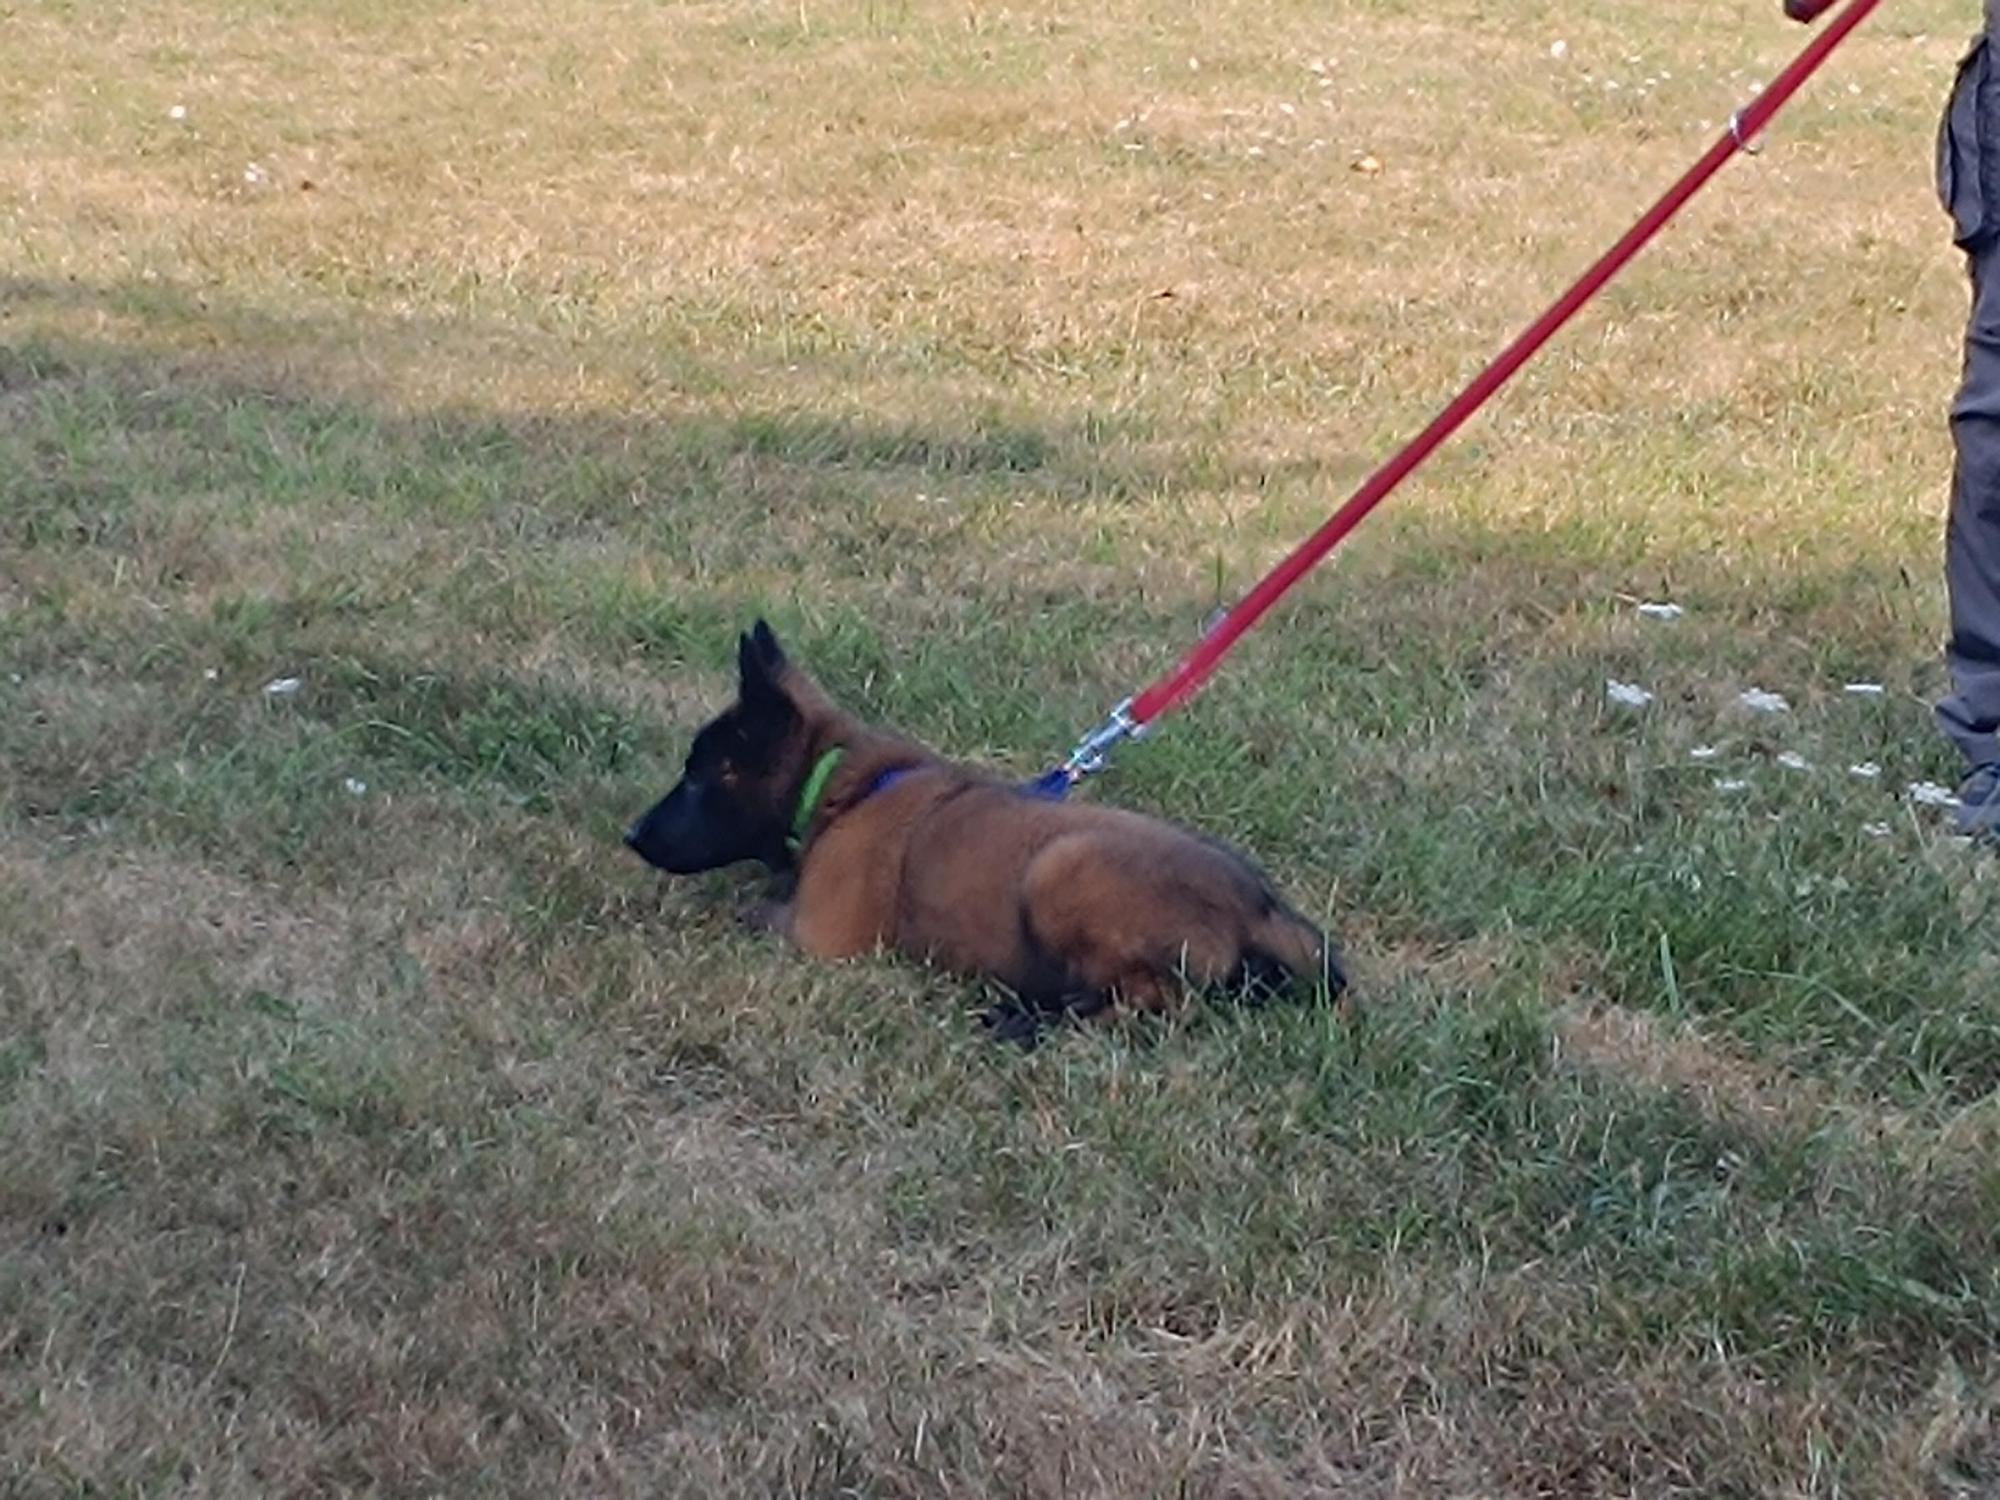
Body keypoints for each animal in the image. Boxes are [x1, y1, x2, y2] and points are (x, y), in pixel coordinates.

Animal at [624, 624, 1344, 1048]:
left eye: (700, 777)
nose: (631, 835)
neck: (840, 787)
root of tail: (1261, 903)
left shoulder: (818, 935)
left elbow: (743, 911)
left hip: (1060, 869)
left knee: (1160, 1002)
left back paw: (1029, 1024)